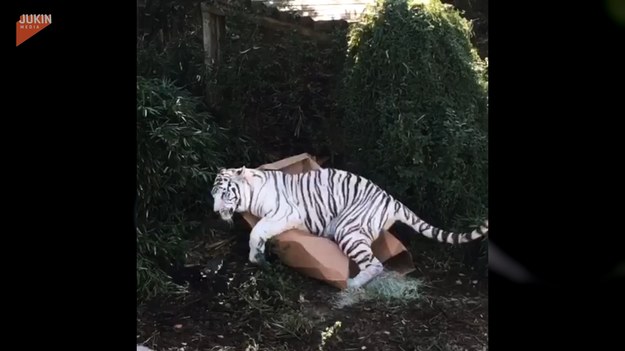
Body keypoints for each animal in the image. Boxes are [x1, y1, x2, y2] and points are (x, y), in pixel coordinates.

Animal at [211, 166, 488, 288]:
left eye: (224, 194)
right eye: (213, 194)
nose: (214, 211)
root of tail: (392, 200)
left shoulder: (285, 212)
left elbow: (258, 230)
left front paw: (255, 256)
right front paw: (258, 256)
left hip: (348, 230)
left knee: (374, 264)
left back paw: (352, 284)